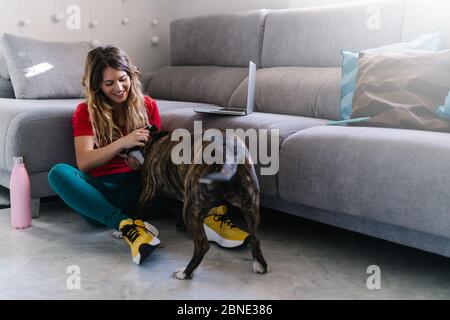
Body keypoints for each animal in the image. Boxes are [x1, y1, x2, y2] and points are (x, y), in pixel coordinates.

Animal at [135, 130, 268, 280]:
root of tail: (227, 156)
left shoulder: (148, 190)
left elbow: (138, 213)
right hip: (251, 206)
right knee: (255, 239)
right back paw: (260, 266)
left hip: (191, 209)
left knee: (202, 245)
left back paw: (185, 272)